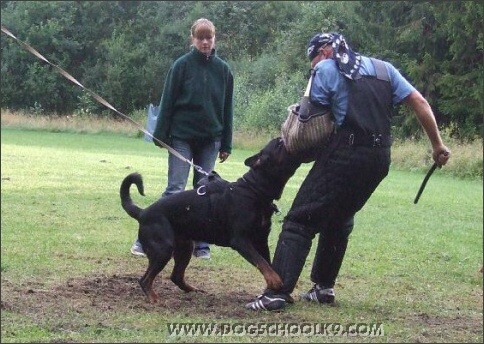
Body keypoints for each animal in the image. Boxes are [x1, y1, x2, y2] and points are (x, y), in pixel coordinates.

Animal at [120, 138, 300, 304]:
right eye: (279, 144)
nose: (285, 137)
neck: (255, 190)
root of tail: (143, 212)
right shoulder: (241, 241)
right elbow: (261, 262)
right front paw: (275, 281)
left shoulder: (261, 240)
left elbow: (267, 264)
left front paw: (273, 287)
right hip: (163, 249)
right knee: (145, 280)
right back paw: (153, 297)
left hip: (185, 247)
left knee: (176, 276)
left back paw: (192, 290)